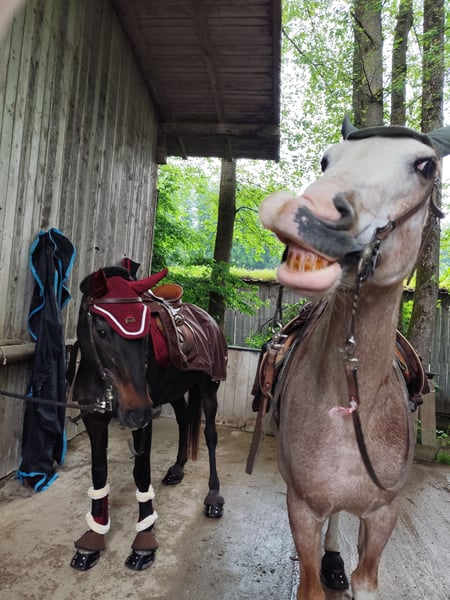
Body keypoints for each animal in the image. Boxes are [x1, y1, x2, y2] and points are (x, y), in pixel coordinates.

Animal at [69, 261, 228, 571]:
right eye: (101, 331)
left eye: (144, 334)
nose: (136, 410)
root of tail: (209, 317)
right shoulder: (94, 418)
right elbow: (99, 471)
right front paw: (94, 535)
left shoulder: (143, 423)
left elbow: (141, 472)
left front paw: (144, 539)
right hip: (176, 390)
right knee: (183, 420)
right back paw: (177, 469)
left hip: (208, 387)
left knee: (210, 435)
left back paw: (214, 497)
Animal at [257, 117, 450, 599]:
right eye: (327, 159)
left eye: (426, 167)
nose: (306, 213)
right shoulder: (302, 508)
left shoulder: (383, 515)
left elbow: (366, 579)